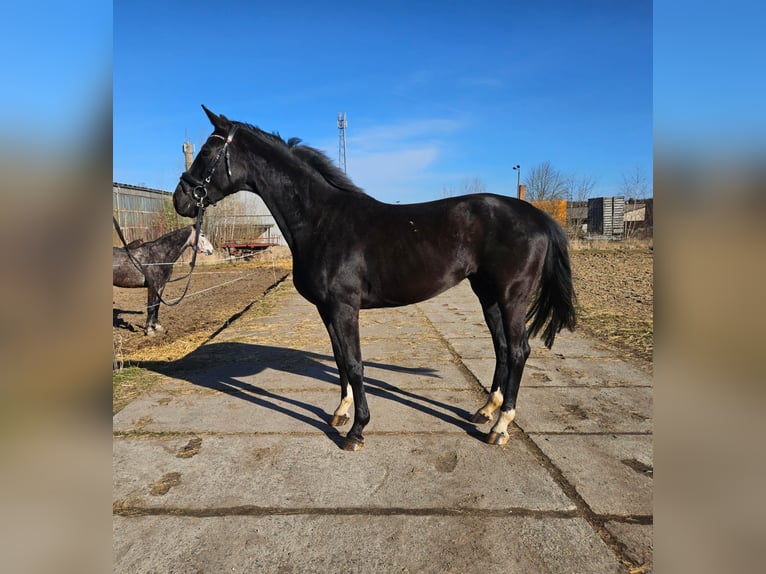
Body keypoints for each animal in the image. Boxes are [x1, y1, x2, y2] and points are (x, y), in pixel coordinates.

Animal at [173, 106, 576, 451]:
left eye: (207, 153)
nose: (181, 200)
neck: (322, 221)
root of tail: (539, 217)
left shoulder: (344, 307)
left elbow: (355, 363)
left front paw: (356, 431)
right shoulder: (327, 310)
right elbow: (340, 359)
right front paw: (340, 413)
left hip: (512, 296)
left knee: (519, 350)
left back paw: (500, 427)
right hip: (488, 294)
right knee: (503, 348)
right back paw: (486, 410)